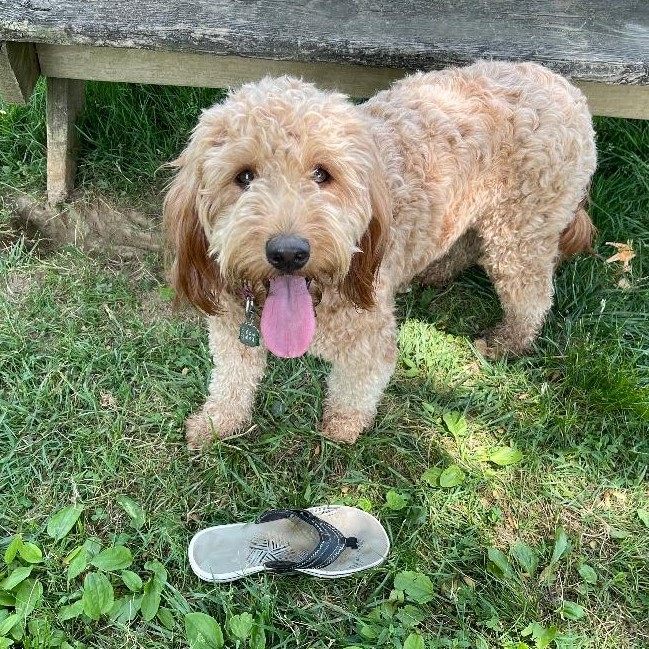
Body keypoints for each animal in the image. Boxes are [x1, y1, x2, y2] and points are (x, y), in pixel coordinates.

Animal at [163, 60, 597, 448]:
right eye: (244, 176)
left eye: (322, 173)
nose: (288, 253)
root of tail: (566, 87)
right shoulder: (231, 326)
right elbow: (231, 379)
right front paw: (217, 423)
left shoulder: (369, 335)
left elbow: (357, 386)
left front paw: (343, 427)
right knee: (469, 242)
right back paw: (437, 271)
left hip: (520, 233)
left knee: (533, 297)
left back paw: (508, 342)